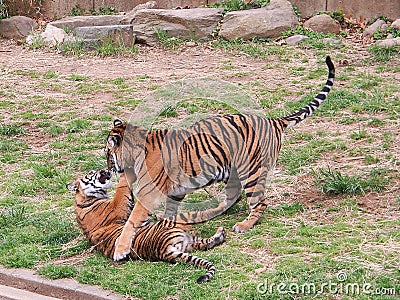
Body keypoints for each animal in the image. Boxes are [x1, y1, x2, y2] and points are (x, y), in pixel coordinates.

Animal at [68, 169, 225, 284]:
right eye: (91, 172)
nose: (104, 170)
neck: (84, 198)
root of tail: (165, 251)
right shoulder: (117, 205)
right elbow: (122, 189)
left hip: (189, 242)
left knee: (206, 243)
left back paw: (219, 234)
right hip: (177, 222)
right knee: (200, 215)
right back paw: (221, 207)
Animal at [105, 55, 334, 260]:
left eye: (107, 153)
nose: (108, 169)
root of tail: (273, 121)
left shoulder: (149, 193)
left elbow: (132, 221)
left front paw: (120, 250)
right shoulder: (175, 191)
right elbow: (168, 211)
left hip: (251, 171)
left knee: (259, 203)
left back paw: (244, 225)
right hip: (231, 172)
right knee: (233, 197)